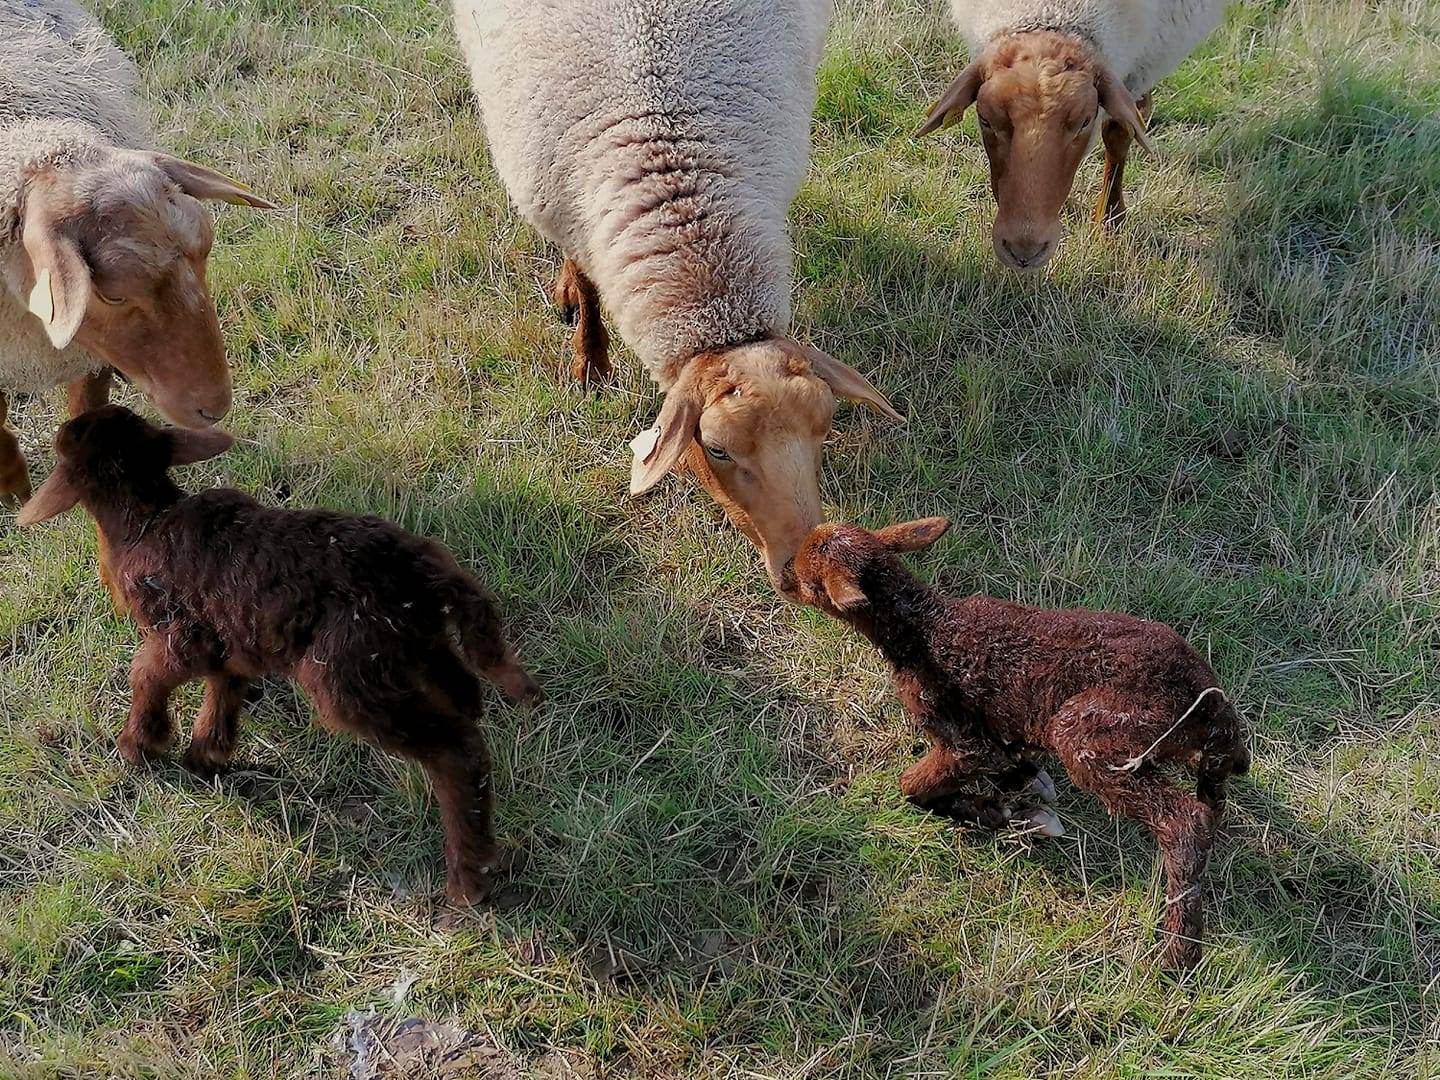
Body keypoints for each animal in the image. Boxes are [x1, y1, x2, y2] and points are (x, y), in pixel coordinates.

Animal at [18, 405, 542, 906]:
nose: (65, 424)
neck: (146, 521)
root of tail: (424, 572)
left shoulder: (180, 637)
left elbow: (145, 674)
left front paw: (139, 745)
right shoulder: (229, 639)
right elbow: (224, 687)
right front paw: (207, 753)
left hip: (350, 676)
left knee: (457, 751)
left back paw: (468, 877)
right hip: (419, 648)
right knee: (465, 697)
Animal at [452, 0, 904, 594]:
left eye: (825, 425)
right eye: (716, 448)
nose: (803, 571)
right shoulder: (558, 203)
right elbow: (589, 281)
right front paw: (589, 362)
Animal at [789, 517, 1250, 969]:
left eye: (809, 580)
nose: (782, 579)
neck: (922, 628)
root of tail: (1208, 699)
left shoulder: (962, 738)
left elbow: (913, 787)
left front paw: (998, 812)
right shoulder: (994, 737)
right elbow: (1007, 761)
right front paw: (1022, 787)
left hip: (1088, 732)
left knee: (1184, 822)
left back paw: (1178, 951)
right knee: (1216, 786)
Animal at [917, 0, 1226, 268]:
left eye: (1085, 121)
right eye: (984, 119)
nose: (1024, 251)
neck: (1052, 7)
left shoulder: (1146, 59)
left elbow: (1120, 130)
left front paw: (1110, 222)